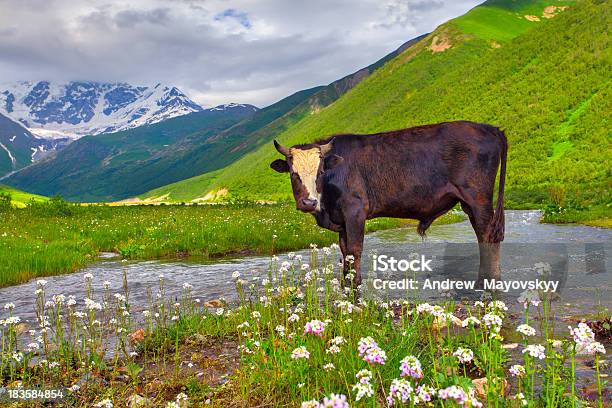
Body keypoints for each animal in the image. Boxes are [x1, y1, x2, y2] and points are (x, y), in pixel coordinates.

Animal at [272, 121, 506, 286]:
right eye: (293, 173)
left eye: (320, 171)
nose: (308, 202)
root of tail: (488, 128)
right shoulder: (342, 221)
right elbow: (345, 254)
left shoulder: (355, 211)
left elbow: (355, 251)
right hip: (470, 204)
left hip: (478, 199)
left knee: (487, 235)